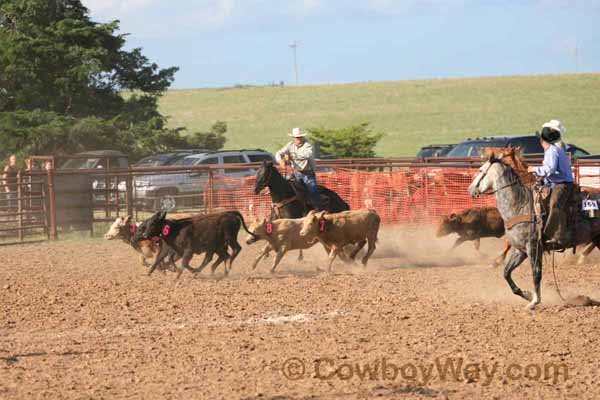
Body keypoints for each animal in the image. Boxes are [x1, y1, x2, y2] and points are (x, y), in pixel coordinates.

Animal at [468, 150, 600, 310]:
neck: (519, 204)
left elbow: (536, 273)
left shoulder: (533, 248)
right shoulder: (520, 250)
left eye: (481, 170)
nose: (470, 190)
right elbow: (506, 272)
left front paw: (534, 301)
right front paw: (527, 294)